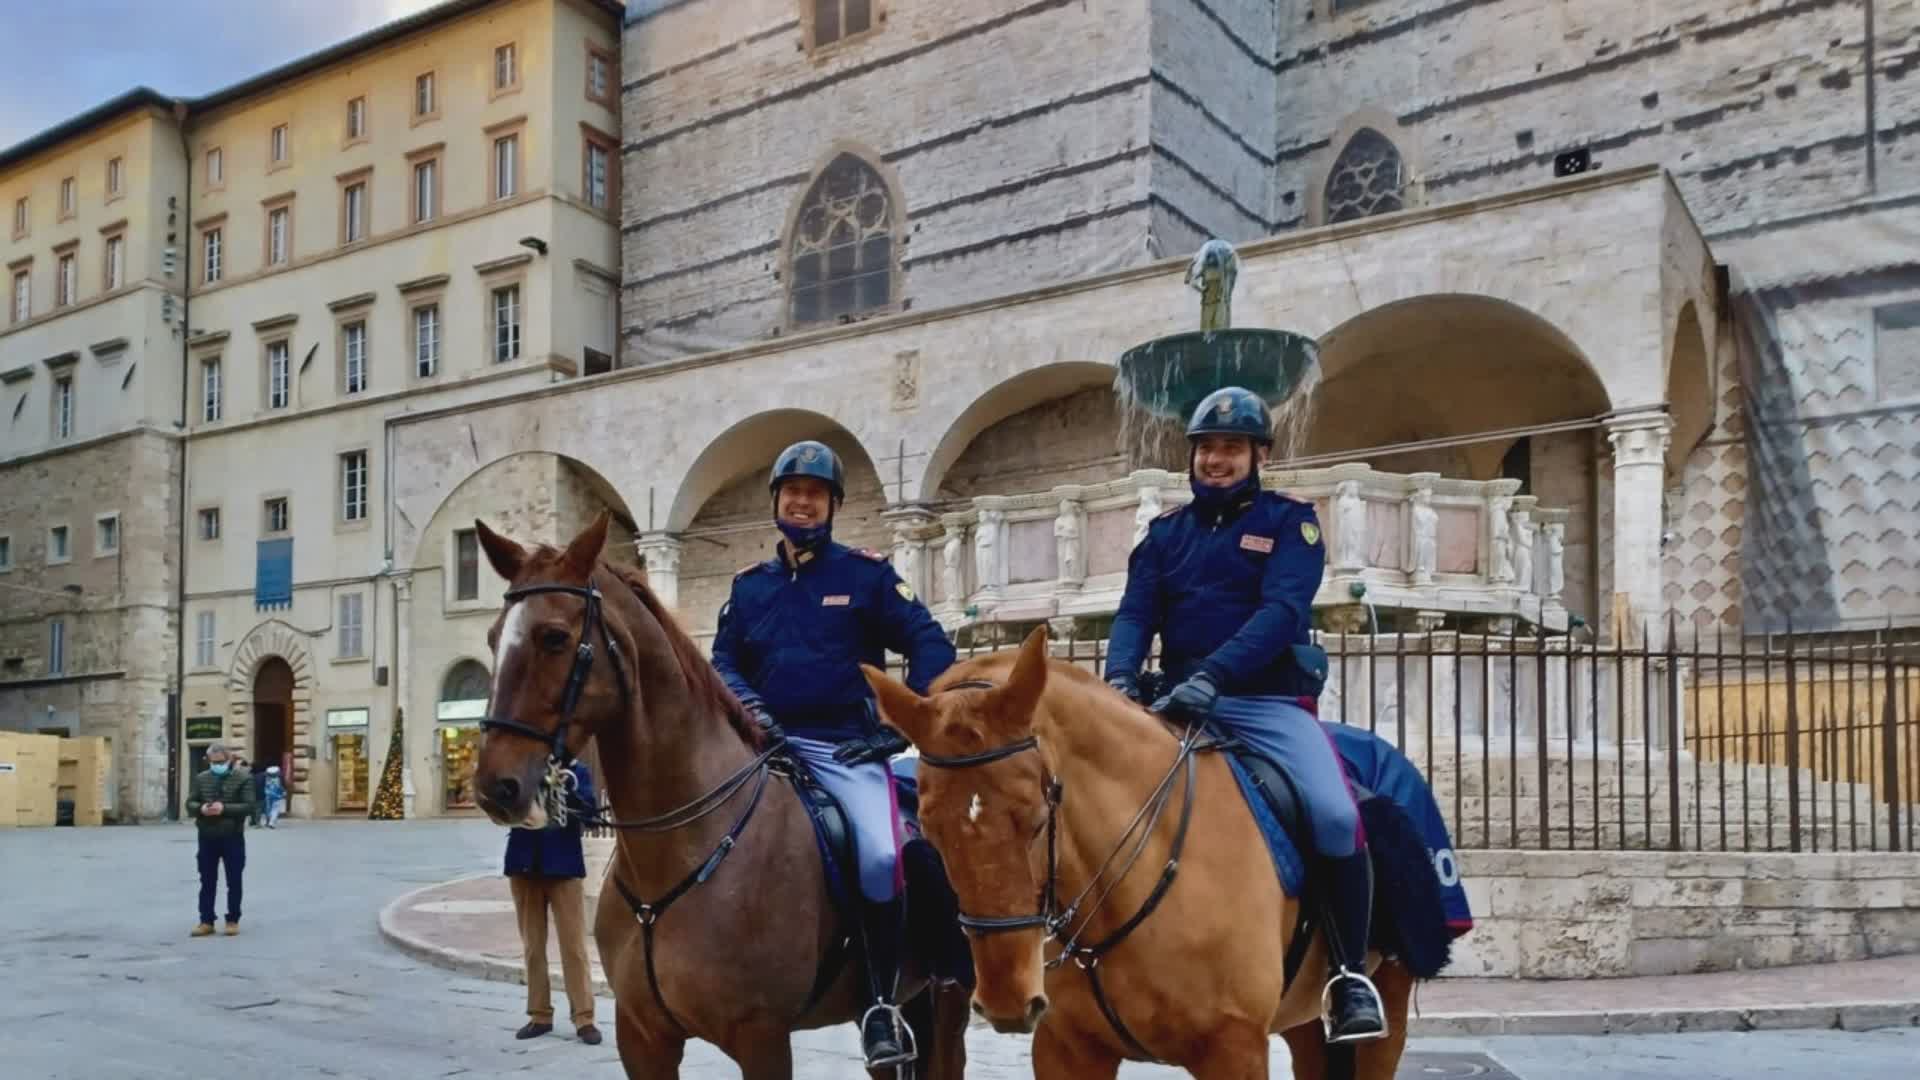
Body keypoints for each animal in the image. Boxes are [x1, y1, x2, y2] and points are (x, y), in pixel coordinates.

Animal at [466, 511, 975, 1076]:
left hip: (951, 996)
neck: (681, 852)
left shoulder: (762, 1040)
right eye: (493, 637)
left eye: (554, 637)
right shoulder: (642, 1038)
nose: (496, 785)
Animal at [864, 622, 1420, 1076]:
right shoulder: (1066, 1051)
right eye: (930, 829)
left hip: (1387, 1002)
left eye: (1038, 817)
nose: (1006, 1000)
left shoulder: (1234, 1048)